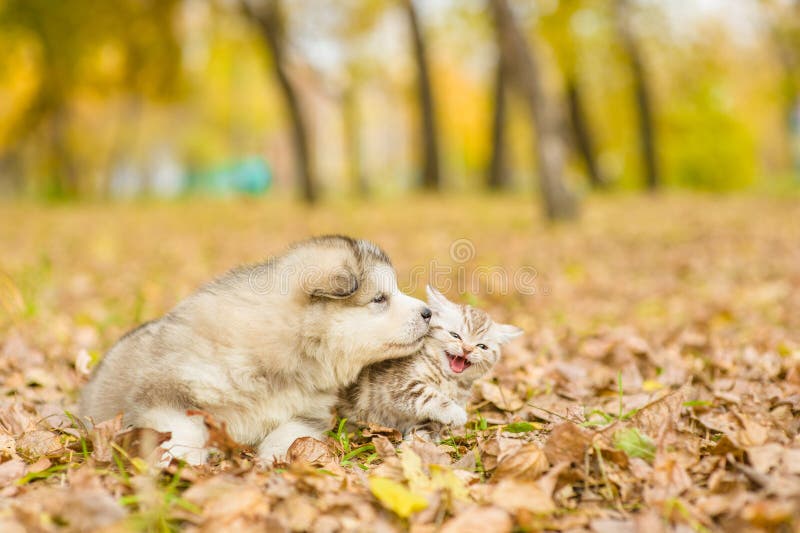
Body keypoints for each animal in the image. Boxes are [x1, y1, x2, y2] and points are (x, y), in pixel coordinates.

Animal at [80, 235, 432, 464]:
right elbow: (182, 428)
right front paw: (180, 461)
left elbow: (288, 433)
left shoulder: (308, 413)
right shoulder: (165, 393)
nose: (428, 312)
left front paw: (275, 458)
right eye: (379, 299)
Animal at [340, 284, 520, 438]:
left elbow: (428, 425)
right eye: (455, 335)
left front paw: (419, 444)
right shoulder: (396, 385)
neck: (449, 380)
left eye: (482, 346)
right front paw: (456, 413)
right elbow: (427, 395)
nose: (467, 349)